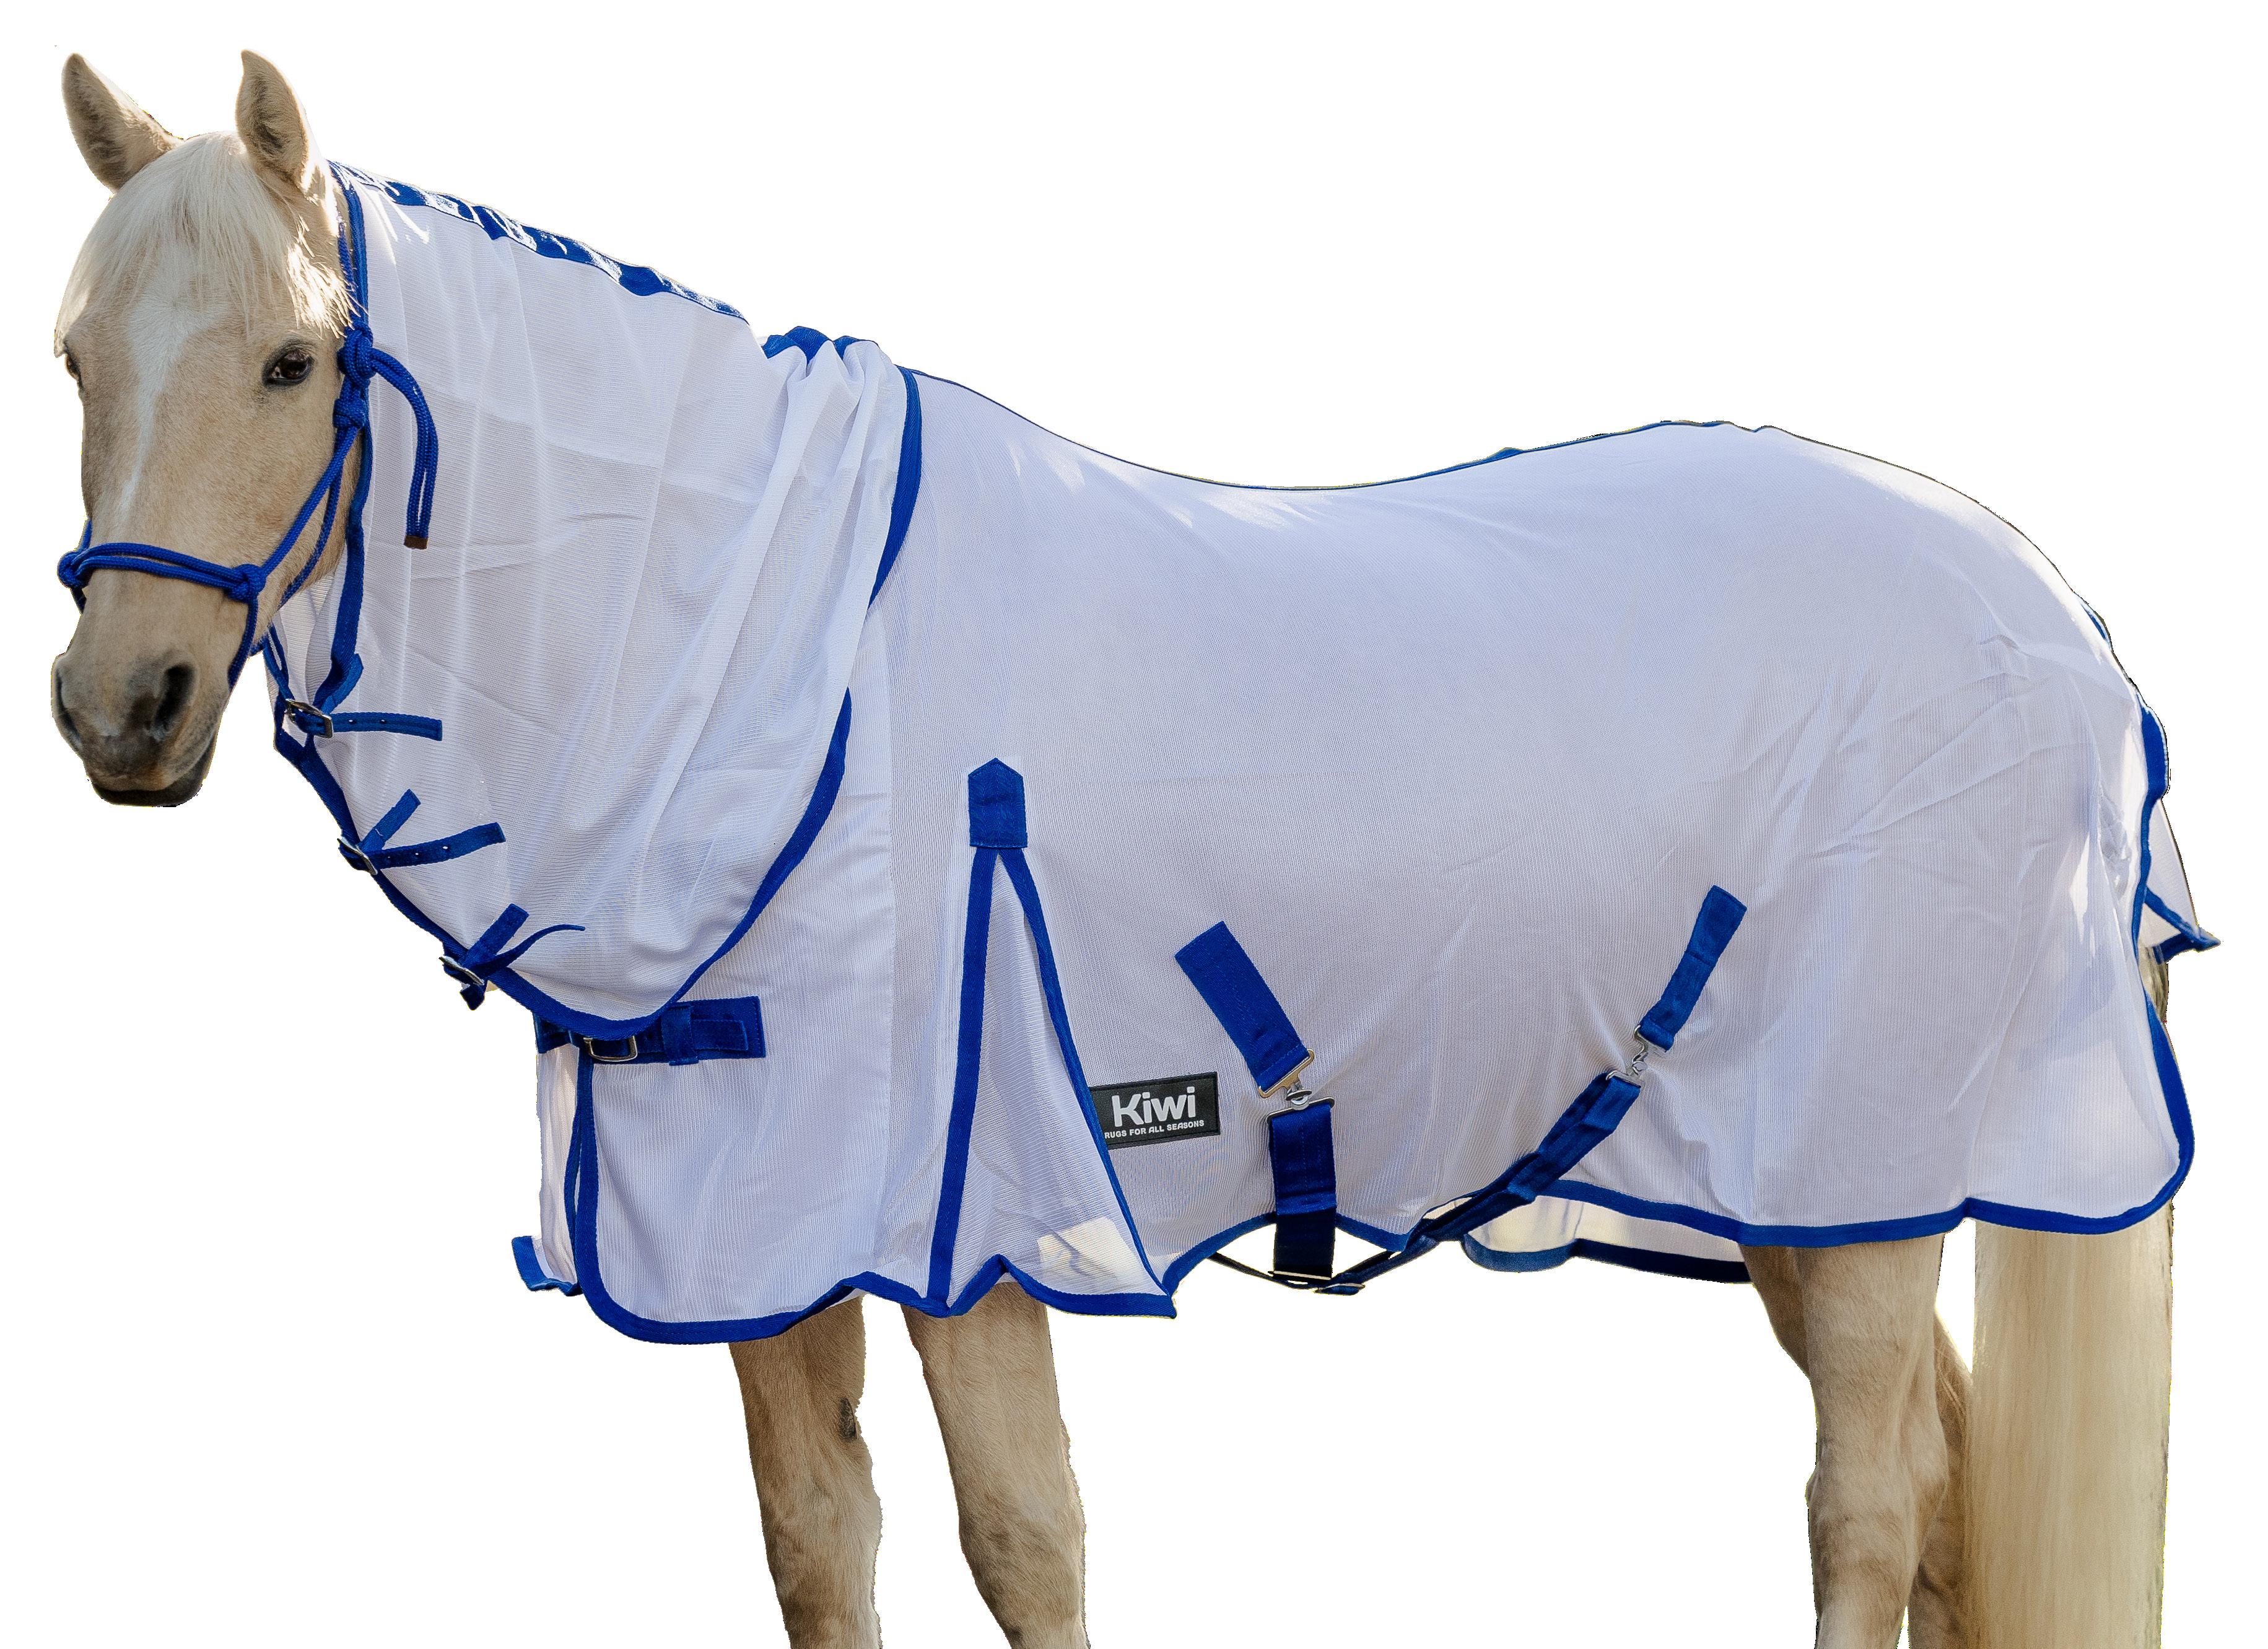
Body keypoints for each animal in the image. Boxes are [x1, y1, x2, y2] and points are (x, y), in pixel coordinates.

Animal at [46, 52, 2196, 1649]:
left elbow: (1024, 1537)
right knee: (1938, 1485)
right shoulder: (759, 1232)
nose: (117, 705)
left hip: (1866, 1152)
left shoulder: (980, 1219)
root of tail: (2057, 616)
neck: (786, 680)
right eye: (77, 362)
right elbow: (817, 1538)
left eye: (292, 363)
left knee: (1860, 1501)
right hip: (1803, 1182)